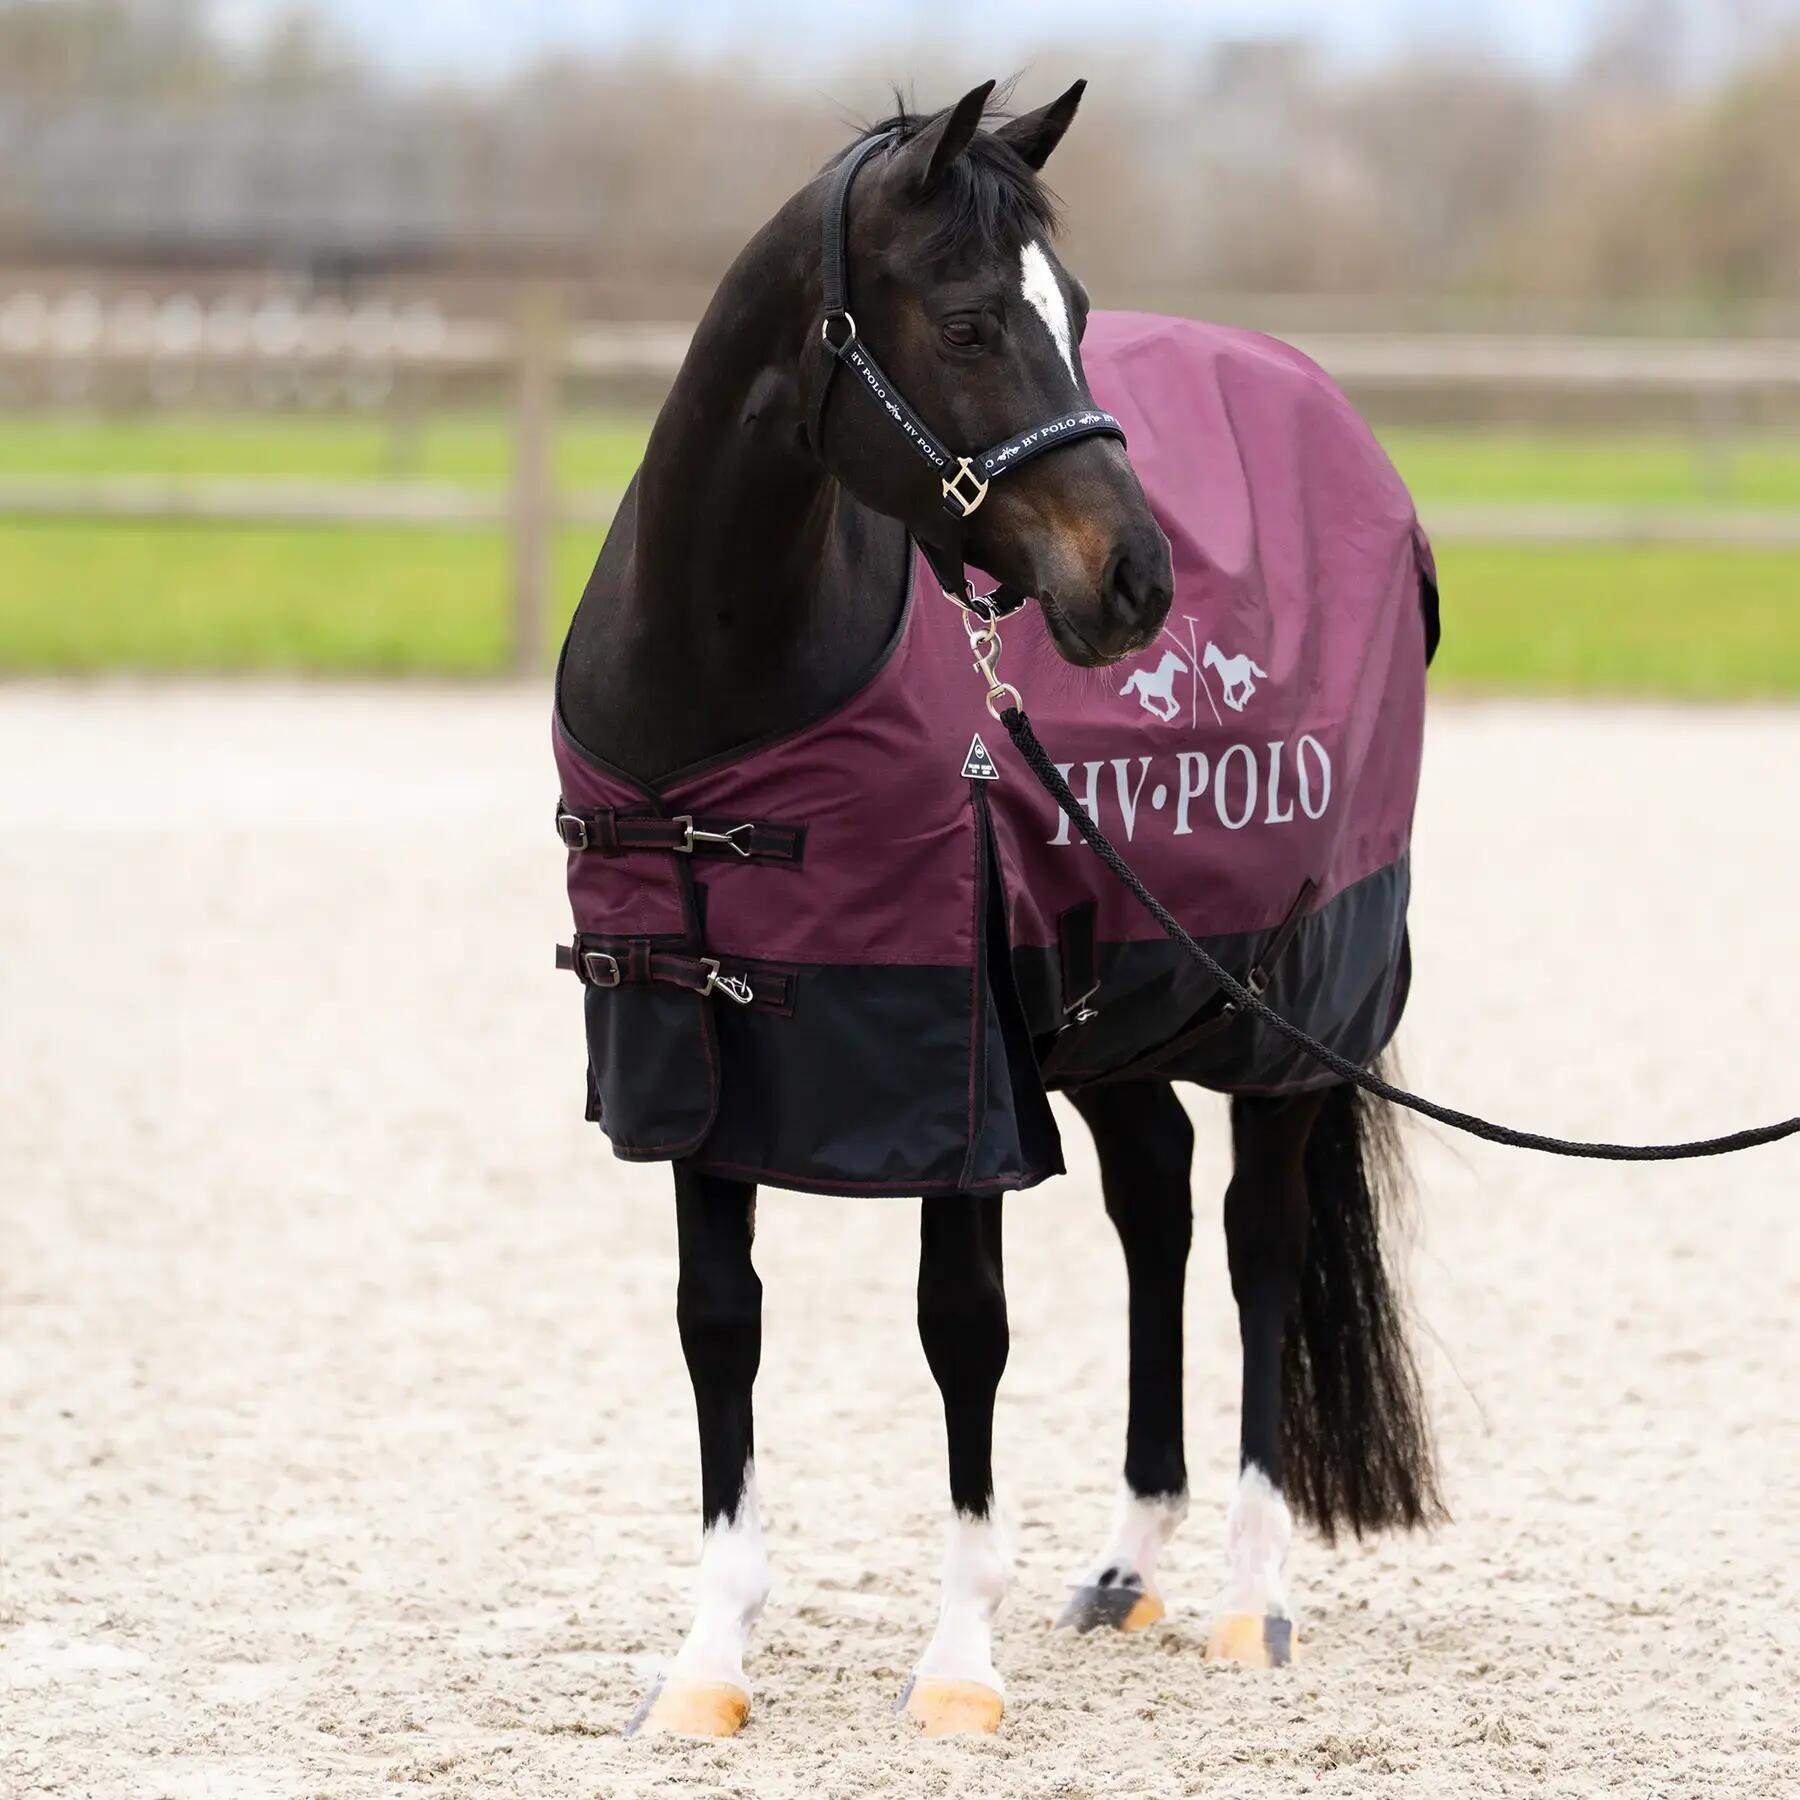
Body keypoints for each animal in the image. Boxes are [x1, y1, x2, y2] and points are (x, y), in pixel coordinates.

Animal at [558, 80, 1441, 1738]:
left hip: (1293, 1008)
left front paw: (960, 1663)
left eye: (1077, 312)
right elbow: (720, 1325)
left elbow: (962, 1330)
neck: (723, 692)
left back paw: (1247, 1601)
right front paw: (708, 1665)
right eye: (970, 323)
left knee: (1259, 1242)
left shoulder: (950, 1066)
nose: (1138, 580)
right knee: (1157, 1204)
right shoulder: (691, 1053)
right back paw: (1130, 1564)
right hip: (1120, 1009)